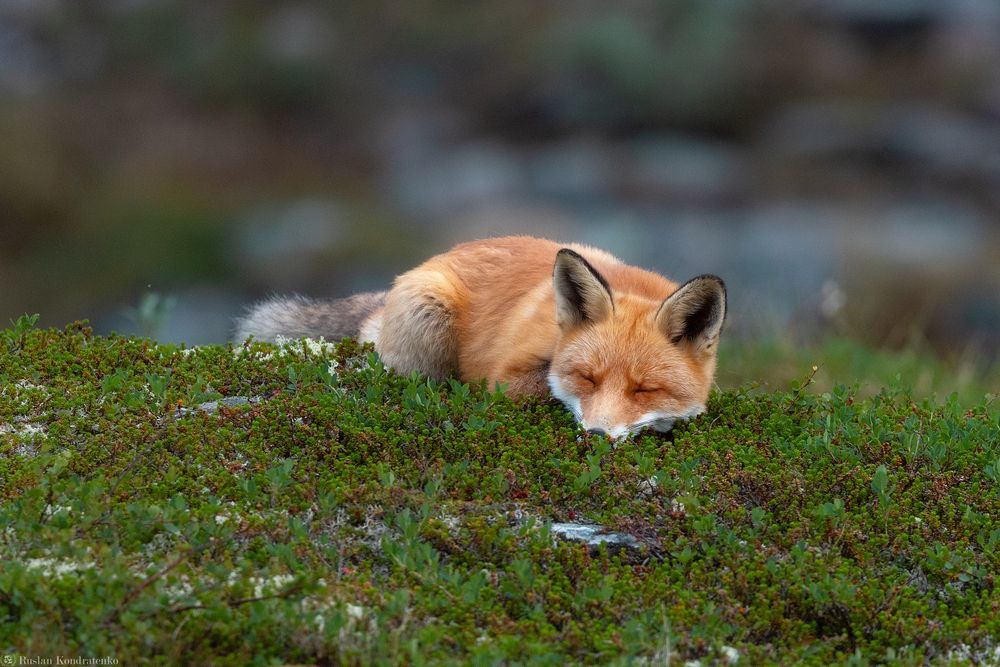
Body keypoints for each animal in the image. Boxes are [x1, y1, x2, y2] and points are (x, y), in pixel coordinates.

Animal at [235, 236, 726, 439]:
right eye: (587, 378)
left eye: (645, 389)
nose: (596, 436)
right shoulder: (508, 379)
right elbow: (543, 388)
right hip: (428, 323)